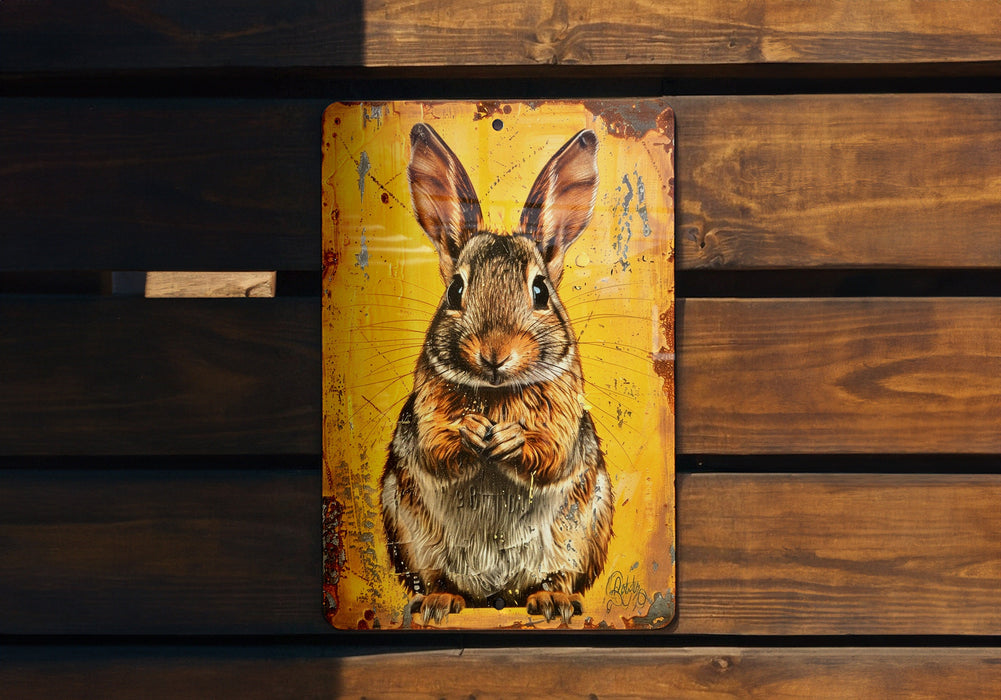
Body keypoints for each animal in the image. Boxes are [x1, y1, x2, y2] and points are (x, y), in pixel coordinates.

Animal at [381, 122, 613, 626]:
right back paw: (439, 602)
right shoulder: (424, 418)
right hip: (412, 534)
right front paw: (471, 430)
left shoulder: (565, 424)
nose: (494, 353)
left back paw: (553, 601)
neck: (496, 392)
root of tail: (497, 595)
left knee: (557, 576)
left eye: (540, 291)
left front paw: (508, 438)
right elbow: (437, 448)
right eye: (455, 290)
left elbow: (550, 454)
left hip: (581, 530)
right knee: (437, 579)